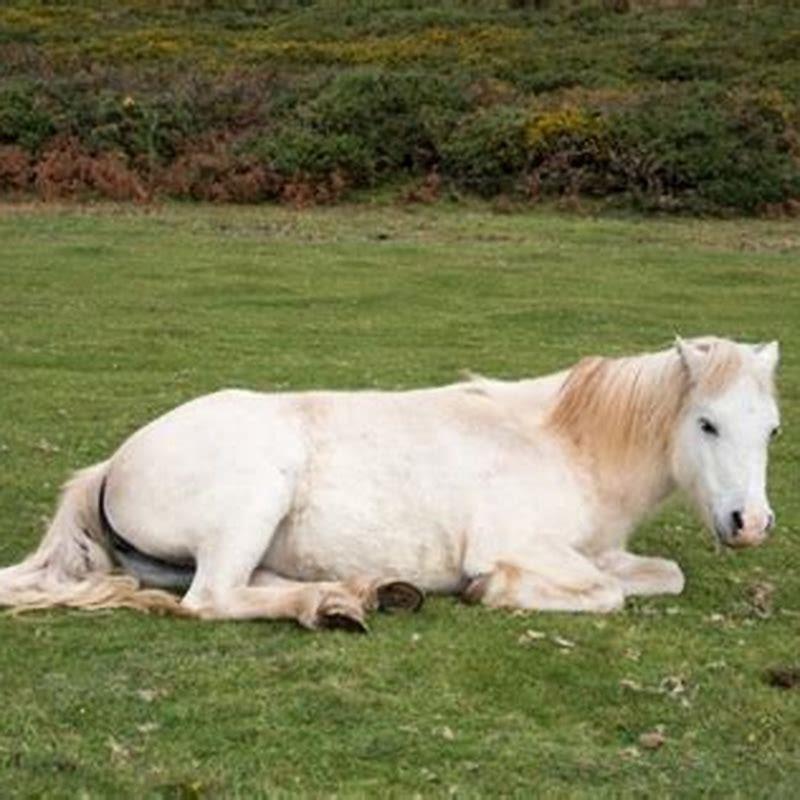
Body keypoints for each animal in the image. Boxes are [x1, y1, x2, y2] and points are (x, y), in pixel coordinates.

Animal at [0, 336, 781, 631]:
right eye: (708, 424)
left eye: (771, 429)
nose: (750, 525)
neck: (564, 445)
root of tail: (115, 463)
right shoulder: (529, 547)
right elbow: (605, 592)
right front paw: (490, 591)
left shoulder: (602, 550)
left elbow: (662, 574)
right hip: (254, 497)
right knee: (215, 598)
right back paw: (334, 602)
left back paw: (359, 594)